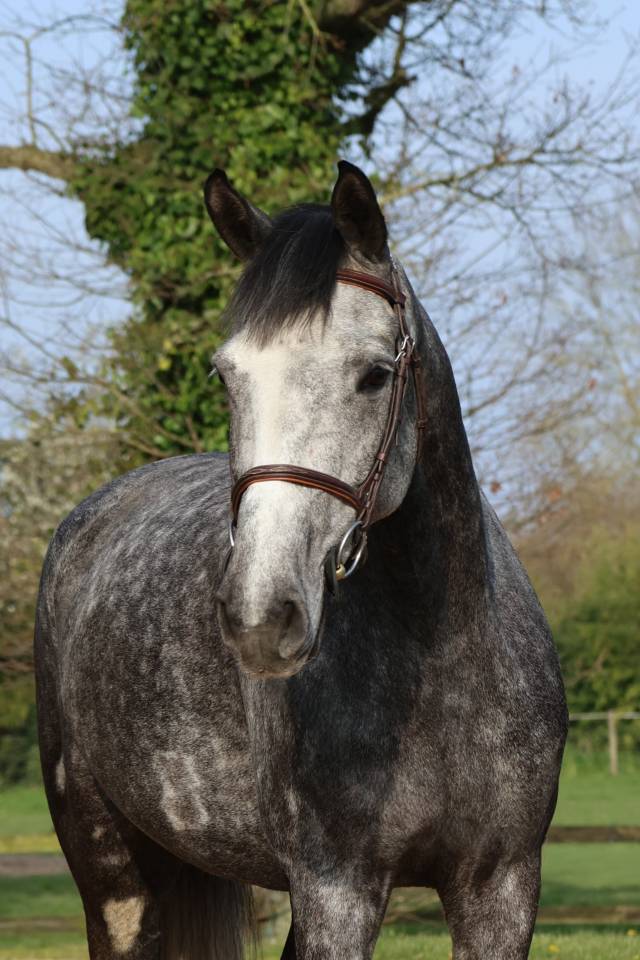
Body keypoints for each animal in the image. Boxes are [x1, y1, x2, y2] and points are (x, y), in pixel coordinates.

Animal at [34, 160, 567, 960]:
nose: (261, 614)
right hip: (112, 876)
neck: (444, 666)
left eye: (375, 375)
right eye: (226, 376)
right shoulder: (335, 891)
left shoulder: (500, 890)